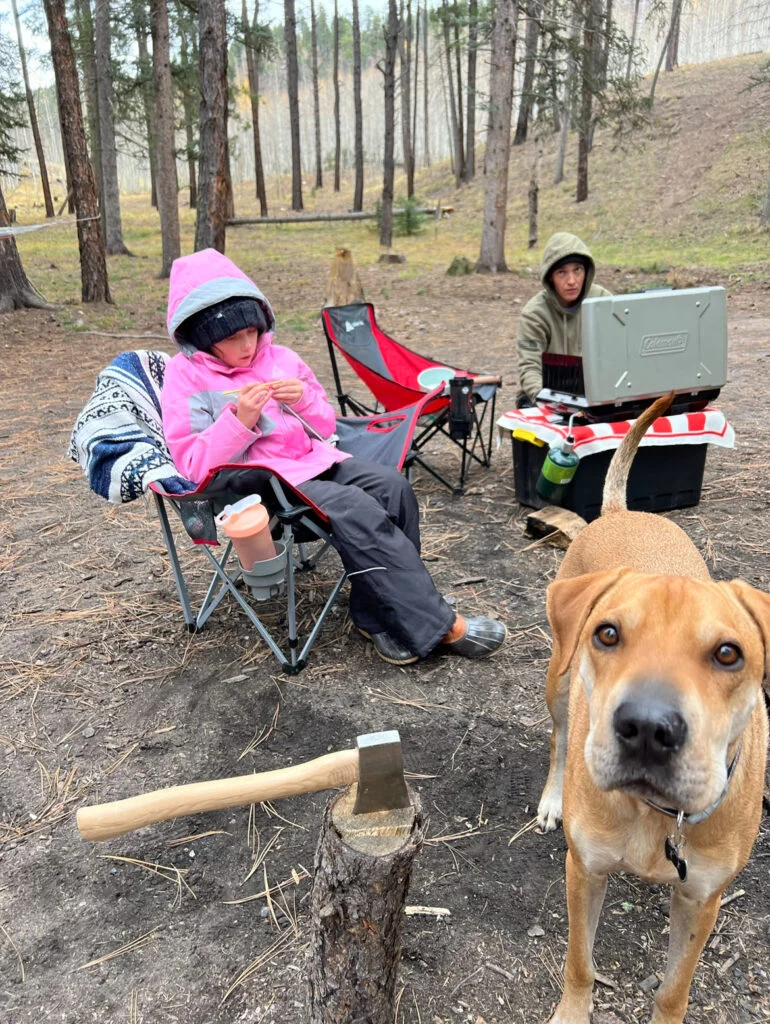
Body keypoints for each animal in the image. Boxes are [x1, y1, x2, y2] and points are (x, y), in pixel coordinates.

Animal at [536, 393, 765, 1024]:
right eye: (608, 634)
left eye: (728, 653)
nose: (645, 729)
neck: (655, 815)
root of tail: (622, 511)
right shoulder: (584, 871)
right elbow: (580, 961)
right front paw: (573, 1011)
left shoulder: (700, 899)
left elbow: (674, 988)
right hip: (559, 683)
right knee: (559, 741)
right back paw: (552, 797)